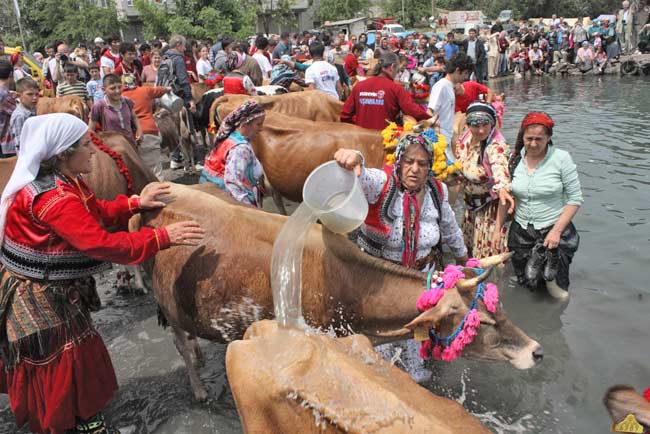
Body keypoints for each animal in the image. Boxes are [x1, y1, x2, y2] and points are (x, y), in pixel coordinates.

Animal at [142, 182, 540, 400]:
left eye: (500, 309)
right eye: (484, 322)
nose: (537, 351)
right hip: (164, 299)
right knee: (179, 342)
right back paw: (198, 387)